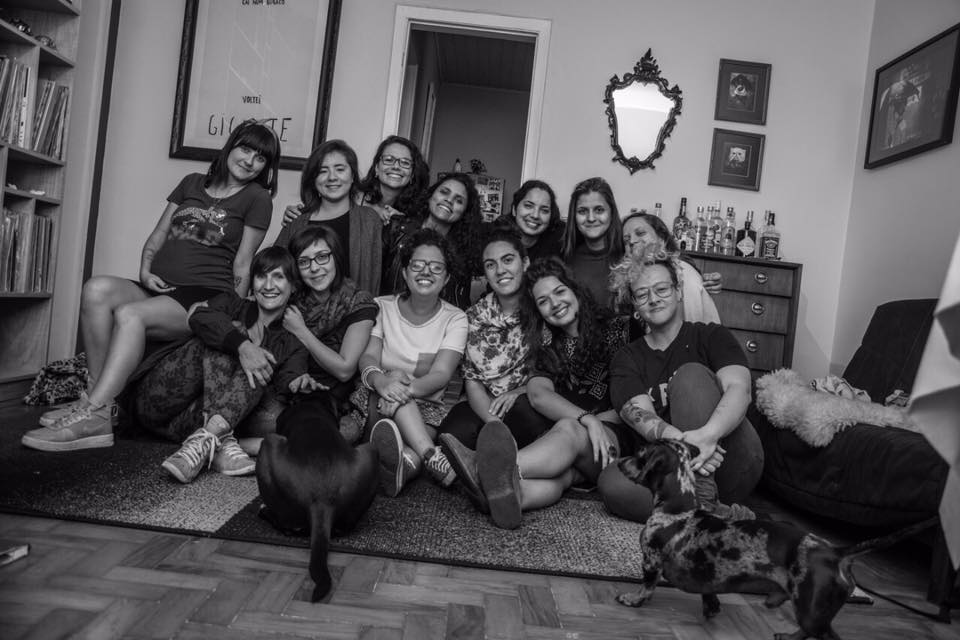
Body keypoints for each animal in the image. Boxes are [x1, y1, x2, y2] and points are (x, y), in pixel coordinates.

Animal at [256, 398, 379, 602]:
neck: (312, 408)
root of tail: (322, 502)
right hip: (371, 451)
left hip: (268, 442)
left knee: (285, 526)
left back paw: (264, 510)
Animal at [616, 440, 937, 640]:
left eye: (640, 453)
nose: (618, 461)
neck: (678, 505)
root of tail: (836, 553)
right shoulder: (708, 577)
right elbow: (710, 593)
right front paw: (711, 608)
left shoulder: (650, 562)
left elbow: (647, 587)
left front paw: (632, 599)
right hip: (813, 611)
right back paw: (785, 635)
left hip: (810, 609)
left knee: (823, 634)